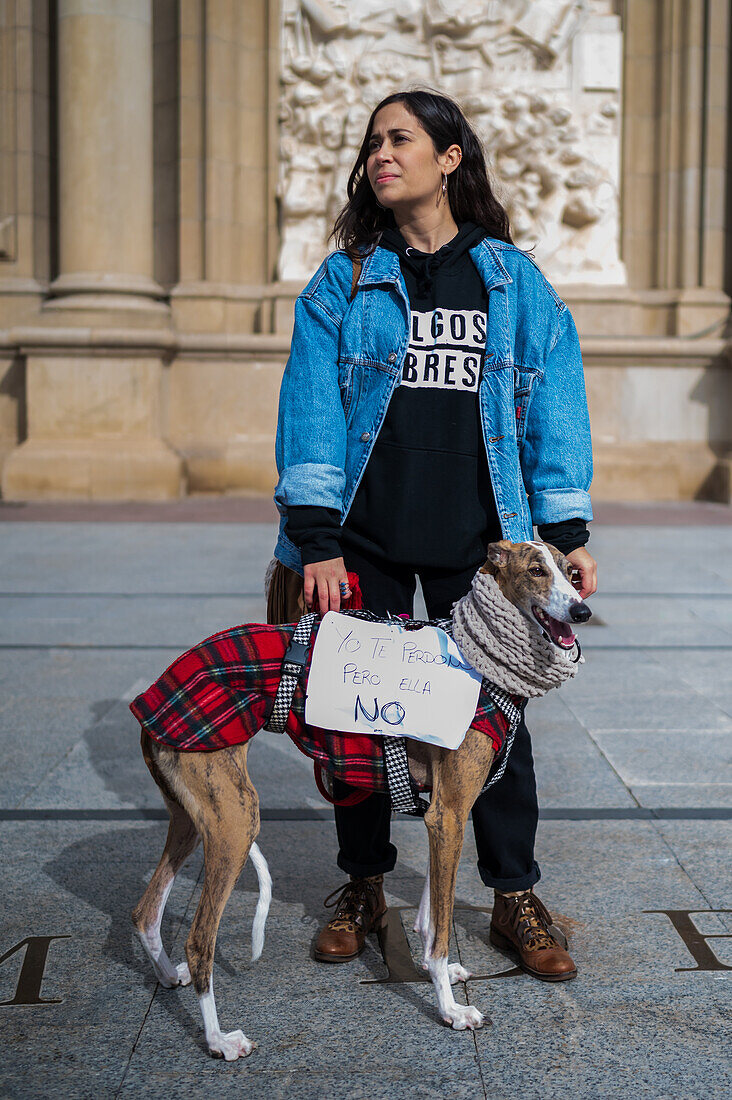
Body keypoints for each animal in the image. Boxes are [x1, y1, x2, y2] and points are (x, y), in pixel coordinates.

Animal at [129, 539, 590, 1056]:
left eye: (571, 572)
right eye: (535, 571)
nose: (582, 610)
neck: (477, 663)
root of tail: (153, 694)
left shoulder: (443, 812)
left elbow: (432, 914)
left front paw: (435, 970)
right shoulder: (450, 812)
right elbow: (442, 924)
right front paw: (451, 1010)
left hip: (192, 817)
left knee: (145, 913)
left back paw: (168, 976)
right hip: (234, 818)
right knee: (198, 939)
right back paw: (218, 1040)